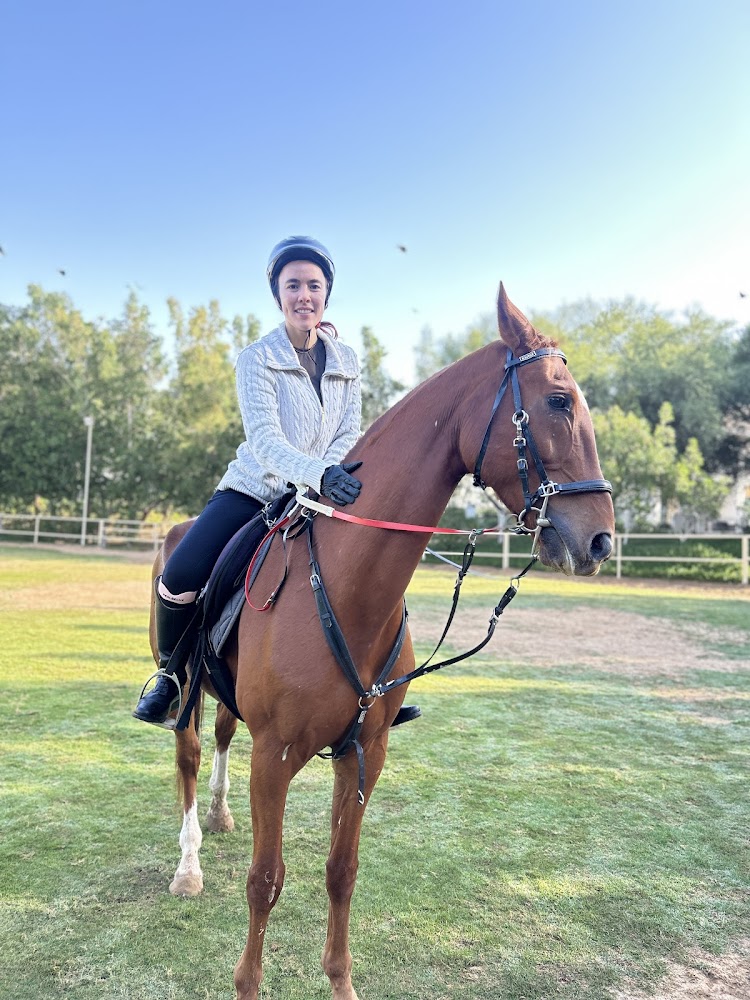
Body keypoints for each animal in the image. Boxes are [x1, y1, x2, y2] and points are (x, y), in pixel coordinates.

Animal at [150, 284, 615, 1000]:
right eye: (559, 401)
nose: (599, 539)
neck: (345, 586)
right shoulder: (275, 756)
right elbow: (265, 881)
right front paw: (248, 980)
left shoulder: (365, 752)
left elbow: (342, 872)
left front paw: (340, 982)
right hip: (186, 687)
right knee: (190, 755)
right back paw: (190, 865)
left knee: (223, 736)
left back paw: (223, 818)